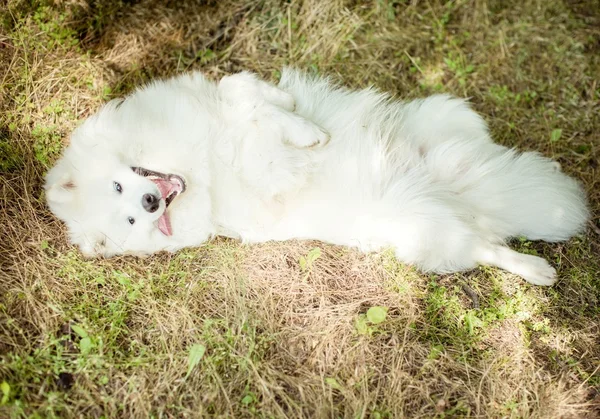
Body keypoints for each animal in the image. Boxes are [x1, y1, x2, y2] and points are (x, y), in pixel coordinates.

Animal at [44, 69, 588, 286]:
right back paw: (537, 270)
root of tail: (460, 196)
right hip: (428, 236)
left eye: (121, 189)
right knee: (487, 249)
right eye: (130, 223)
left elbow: (241, 89)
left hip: (445, 113)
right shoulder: (264, 175)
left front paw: (294, 116)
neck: (196, 167)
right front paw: (305, 135)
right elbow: (260, 130)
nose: (150, 204)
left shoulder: (220, 97)